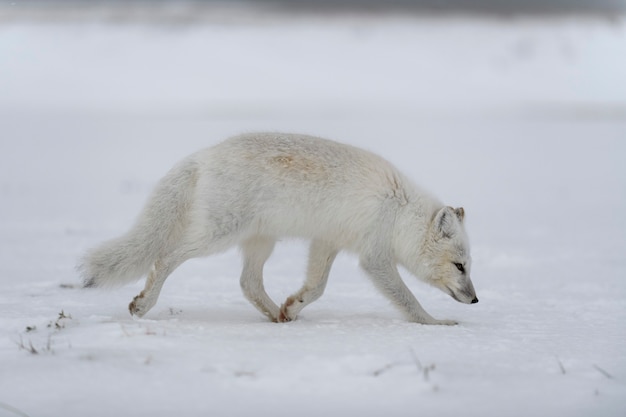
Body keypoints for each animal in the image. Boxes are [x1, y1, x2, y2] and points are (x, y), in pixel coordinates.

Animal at [79, 133, 478, 324]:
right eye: (460, 266)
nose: (475, 300)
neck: (400, 212)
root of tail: (203, 155)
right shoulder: (374, 258)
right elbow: (408, 300)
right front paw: (436, 323)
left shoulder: (326, 241)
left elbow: (316, 287)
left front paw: (293, 307)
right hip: (218, 236)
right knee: (165, 258)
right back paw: (144, 304)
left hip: (261, 241)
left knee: (248, 284)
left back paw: (277, 317)